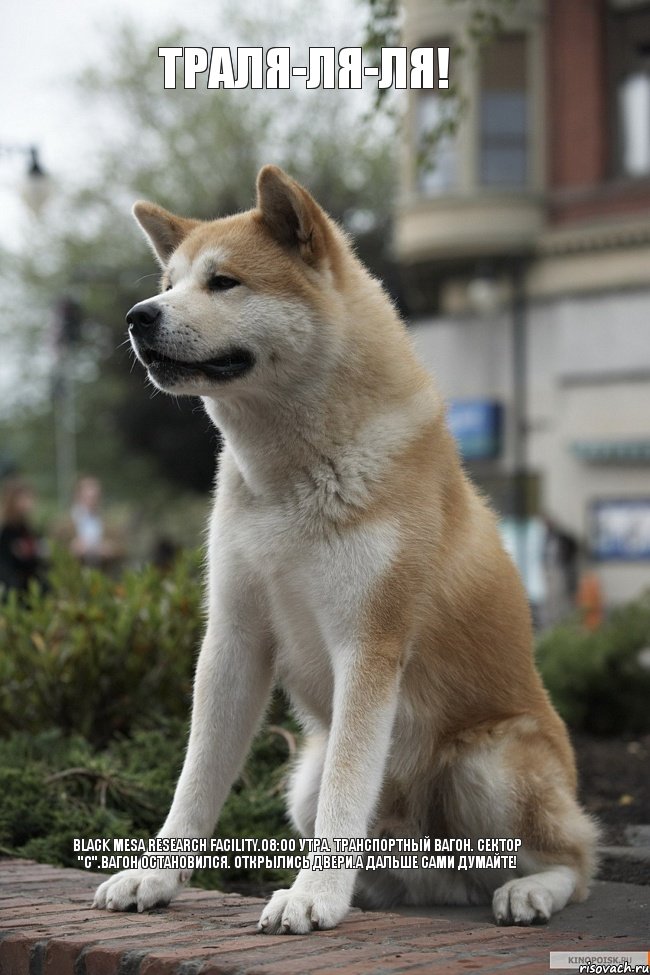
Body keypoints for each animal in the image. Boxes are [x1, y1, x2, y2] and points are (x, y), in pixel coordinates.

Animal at [93, 166, 596, 932]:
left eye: (224, 282)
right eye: (170, 282)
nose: (138, 315)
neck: (291, 478)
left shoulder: (369, 643)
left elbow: (346, 791)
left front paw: (314, 895)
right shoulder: (234, 638)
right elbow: (196, 780)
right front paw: (155, 875)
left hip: (490, 763)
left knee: (574, 860)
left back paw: (530, 890)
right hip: (302, 774)